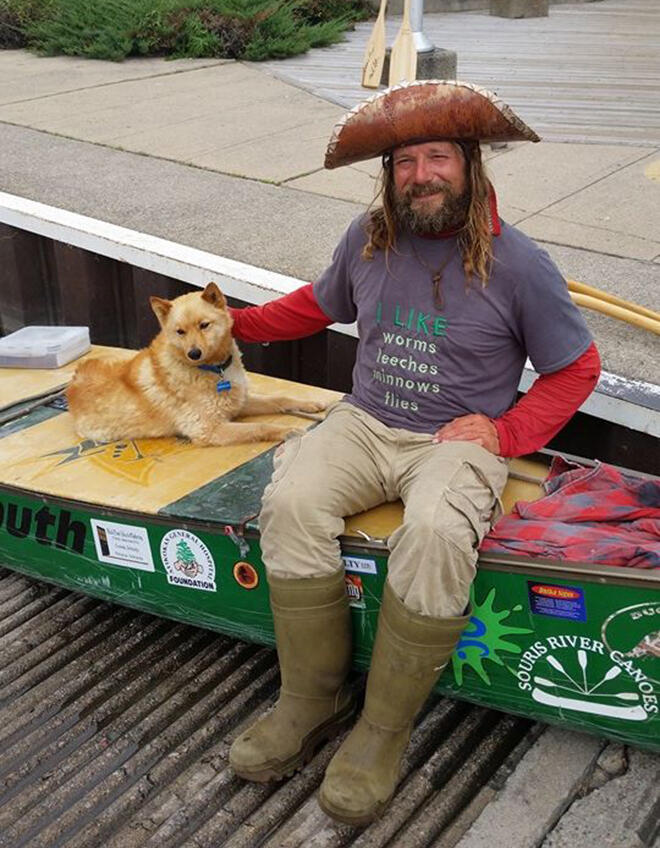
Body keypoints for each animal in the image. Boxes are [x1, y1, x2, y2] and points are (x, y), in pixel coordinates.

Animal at [67, 284, 330, 448]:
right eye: (180, 332)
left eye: (204, 325)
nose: (193, 353)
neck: (215, 369)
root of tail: (73, 383)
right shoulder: (210, 429)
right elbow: (259, 427)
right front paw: (285, 431)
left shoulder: (239, 403)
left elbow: (279, 399)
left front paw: (309, 404)